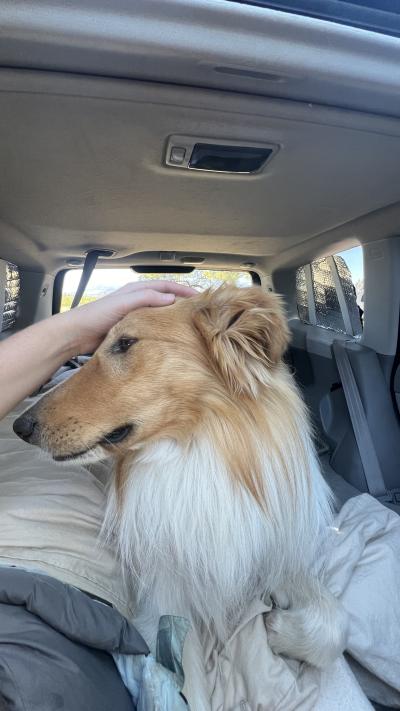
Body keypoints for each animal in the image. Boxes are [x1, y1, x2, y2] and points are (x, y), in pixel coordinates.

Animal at [14, 286, 346, 708]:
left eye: (125, 343)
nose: (20, 425)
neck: (195, 451)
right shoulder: (162, 600)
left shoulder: (275, 550)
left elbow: (334, 627)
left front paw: (277, 627)